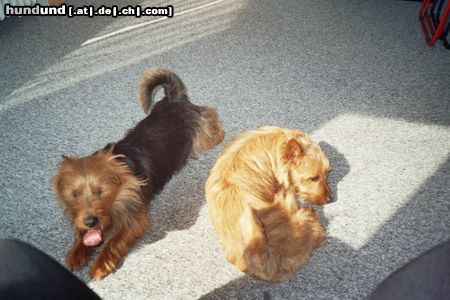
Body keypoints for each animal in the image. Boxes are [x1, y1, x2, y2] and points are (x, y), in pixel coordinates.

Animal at [53, 67, 225, 278]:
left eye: (101, 191)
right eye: (74, 195)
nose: (90, 221)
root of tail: (173, 98)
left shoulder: (136, 220)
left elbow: (114, 242)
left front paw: (101, 263)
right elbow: (81, 233)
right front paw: (76, 252)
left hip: (201, 135)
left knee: (210, 113)